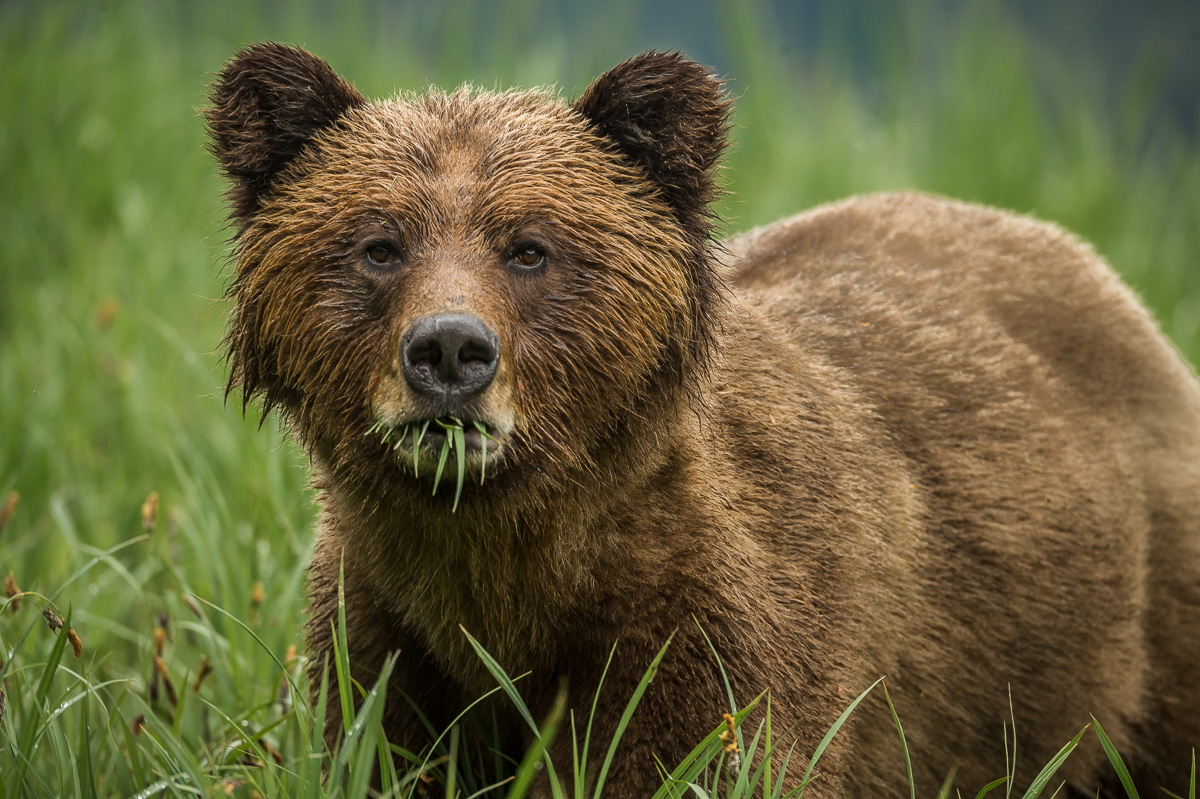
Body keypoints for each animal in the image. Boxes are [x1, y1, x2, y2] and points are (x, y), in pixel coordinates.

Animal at [205, 44, 1200, 797]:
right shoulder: (388, 630)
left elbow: (702, 754)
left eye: (529, 248)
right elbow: (389, 748)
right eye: (379, 245)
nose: (449, 349)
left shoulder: (710, 627)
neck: (510, 557)